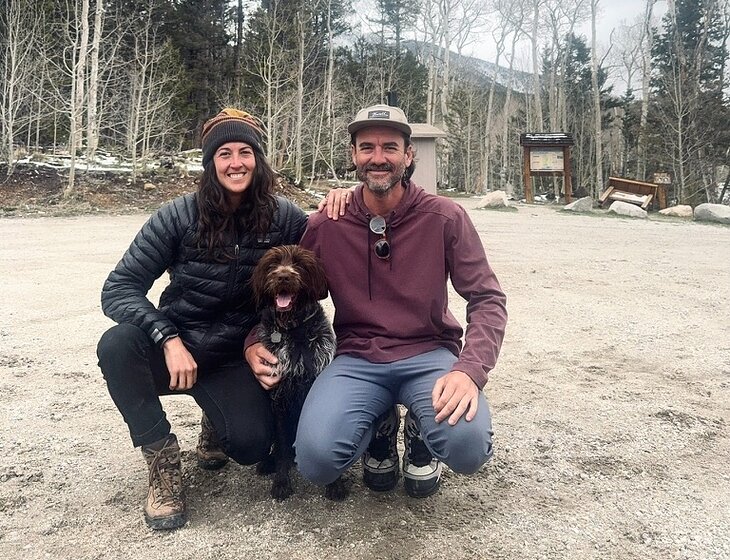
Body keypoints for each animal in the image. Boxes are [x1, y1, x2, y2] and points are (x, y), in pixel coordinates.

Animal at [250, 245, 346, 501]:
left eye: (299, 264)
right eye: (273, 264)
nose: (283, 277)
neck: (293, 330)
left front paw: (335, 484)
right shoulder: (279, 400)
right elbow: (282, 449)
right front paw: (281, 482)